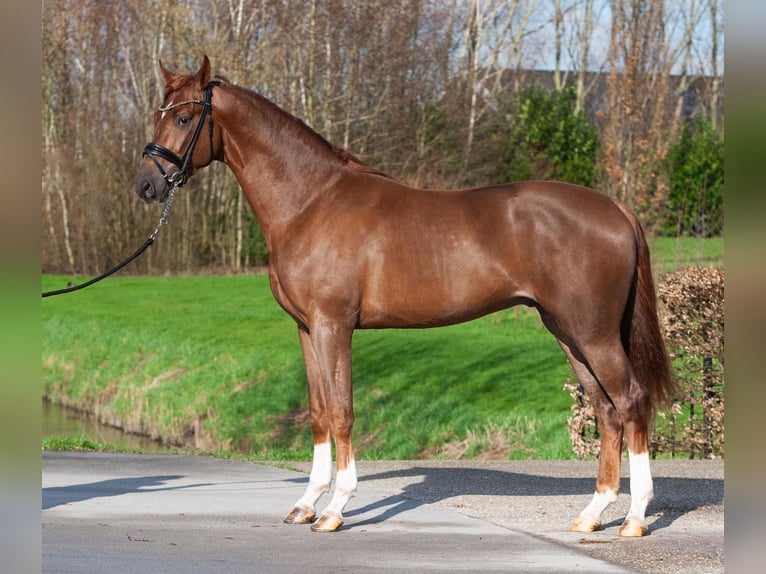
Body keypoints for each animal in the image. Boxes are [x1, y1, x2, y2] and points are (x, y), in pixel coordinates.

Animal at [136, 56, 672, 536]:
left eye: (183, 118)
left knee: (631, 401)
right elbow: (317, 413)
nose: (147, 184)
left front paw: (335, 509)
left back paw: (635, 518)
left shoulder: (334, 326)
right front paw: (306, 504)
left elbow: (342, 411)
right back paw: (592, 514)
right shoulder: (306, 328)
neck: (311, 201)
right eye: (158, 114)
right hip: (566, 330)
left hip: (593, 333)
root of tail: (616, 209)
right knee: (605, 410)